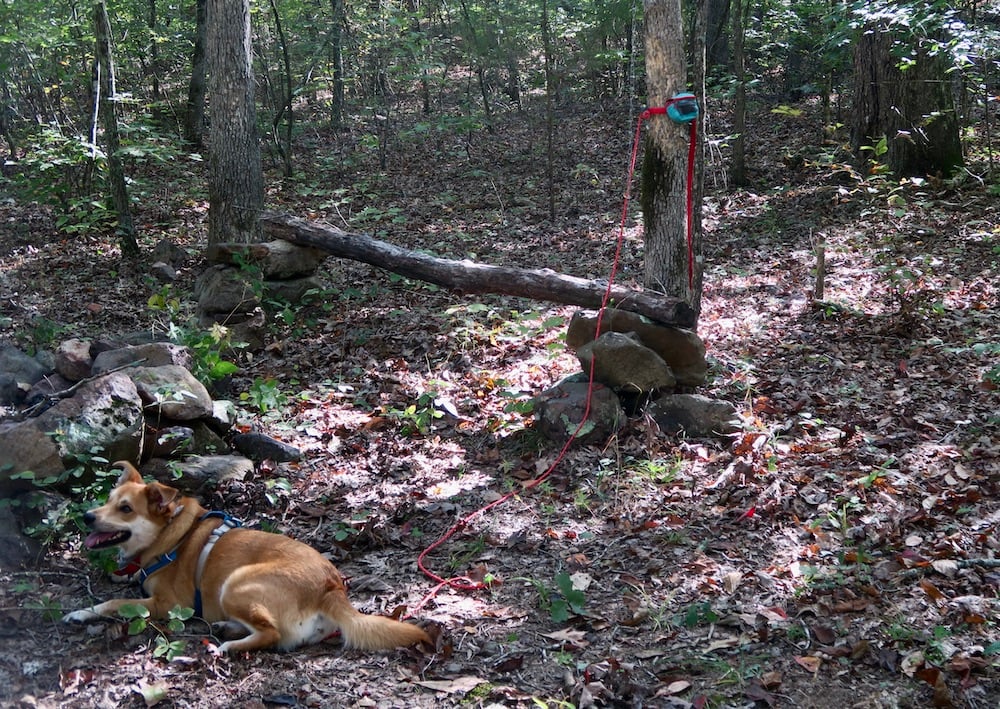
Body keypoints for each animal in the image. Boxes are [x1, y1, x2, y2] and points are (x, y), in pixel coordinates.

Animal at [62, 460, 430, 652]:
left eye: (125, 509)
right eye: (108, 500)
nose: (88, 517)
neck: (172, 535)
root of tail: (331, 587)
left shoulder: (168, 604)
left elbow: (115, 603)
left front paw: (80, 613)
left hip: (234, 583)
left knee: (272, 635)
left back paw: (227, 645)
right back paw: (227, 628)